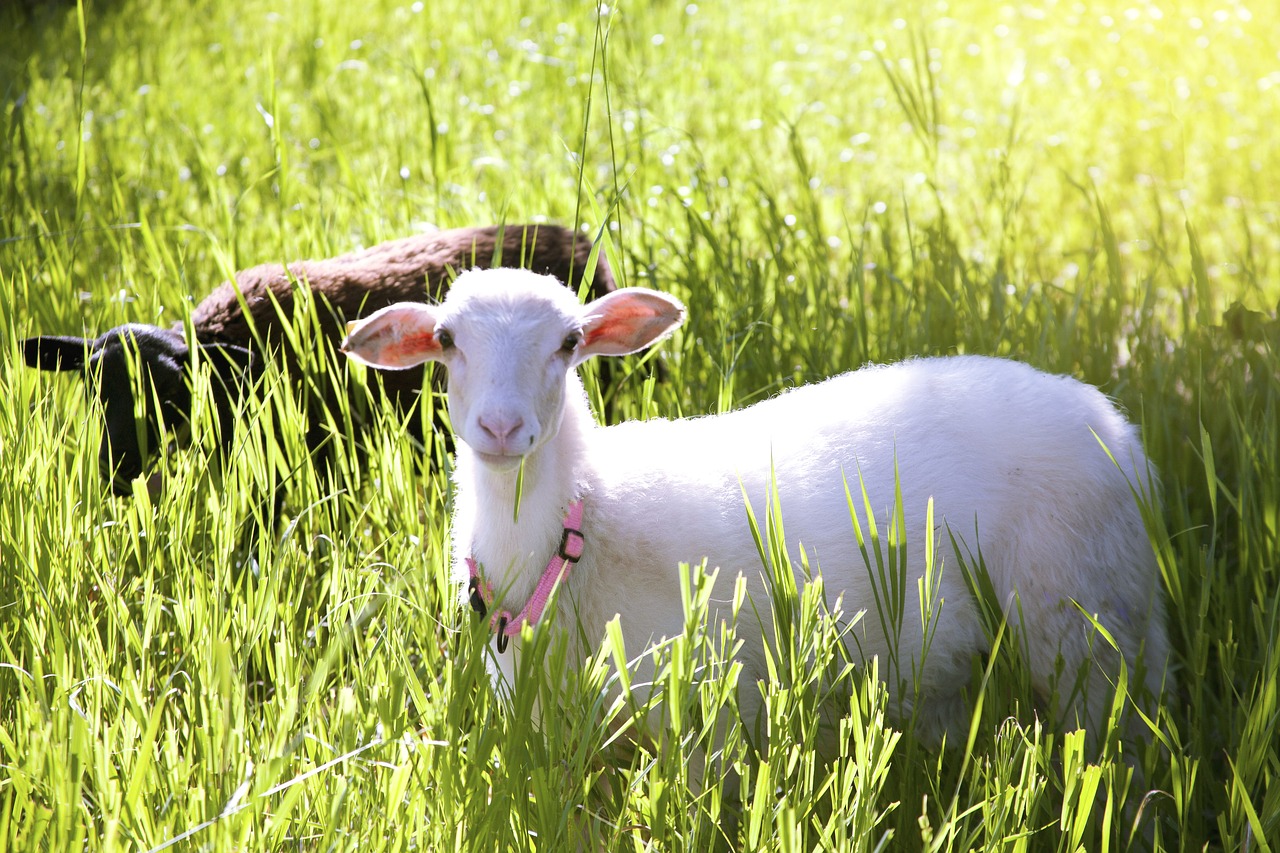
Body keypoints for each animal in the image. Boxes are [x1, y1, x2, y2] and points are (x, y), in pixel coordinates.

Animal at [337, 268, 1172, 742]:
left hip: (1093, 621)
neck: (580, 521)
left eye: (571, 341)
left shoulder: (708, 718)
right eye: (447, 338)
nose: (503, 428)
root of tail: (1114, 424)